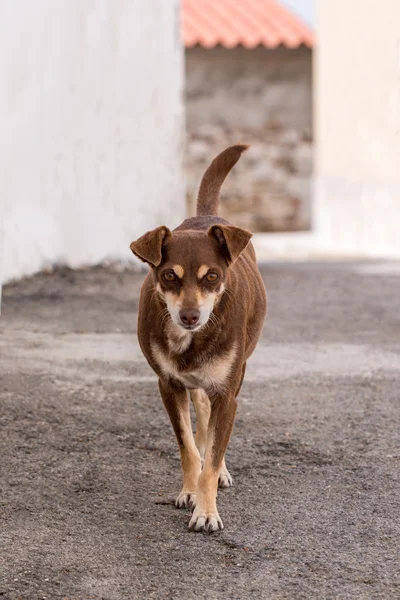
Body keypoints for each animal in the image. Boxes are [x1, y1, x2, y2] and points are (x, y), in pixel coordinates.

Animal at [131, 146, 268, 536]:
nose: (190, 316)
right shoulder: (169, 384)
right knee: (202, 412)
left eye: (212, 276)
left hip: (239, 370)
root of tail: (206, 215)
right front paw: (190, 493)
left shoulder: (228, 393)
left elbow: (213, 453)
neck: (191, 339)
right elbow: (189, 448)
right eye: (168, 276)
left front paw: (207, 510)